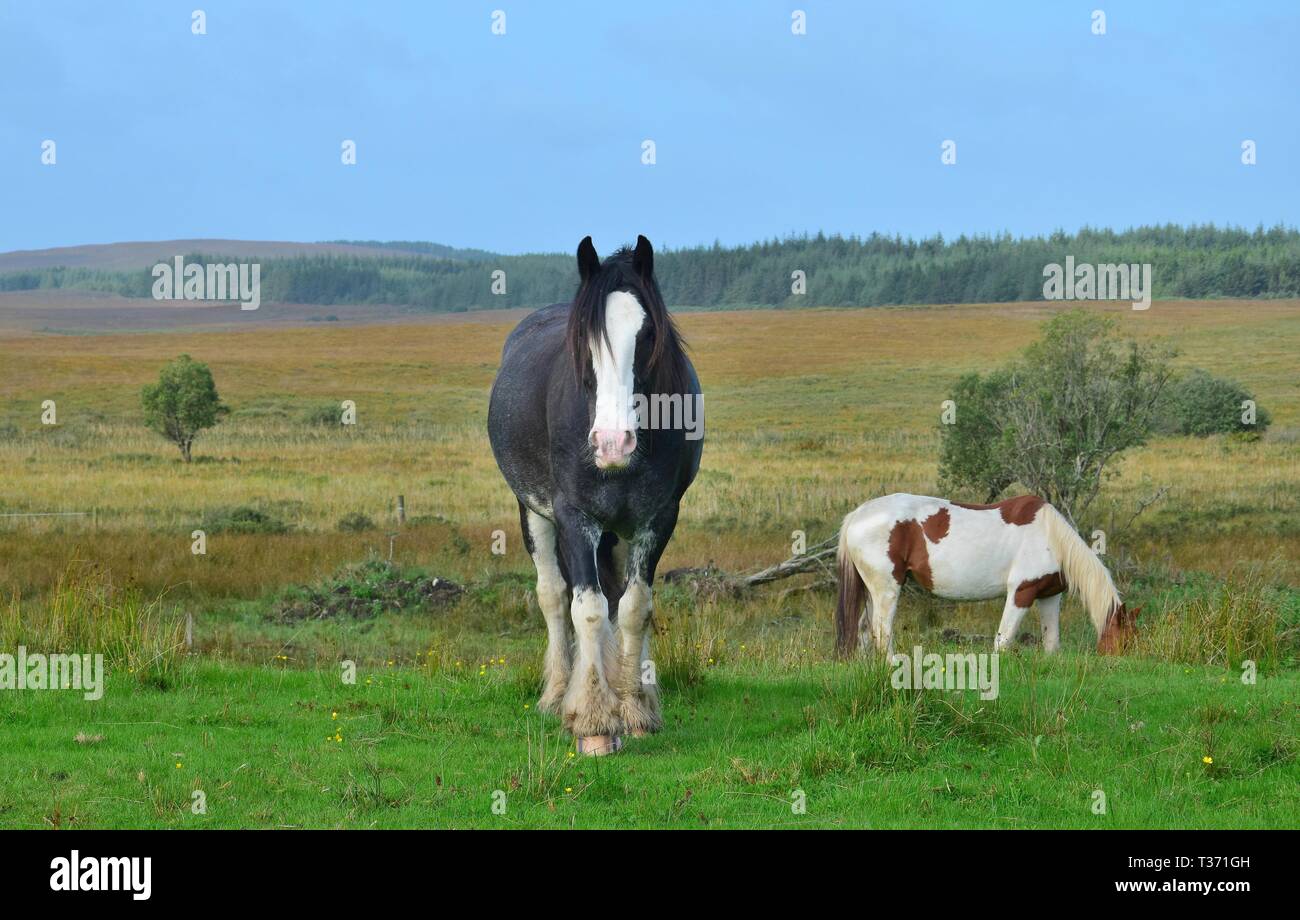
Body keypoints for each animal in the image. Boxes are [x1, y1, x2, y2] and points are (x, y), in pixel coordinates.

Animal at [486, 235, 702, 753]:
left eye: (647, 334)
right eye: (583, 340)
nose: (611, 443)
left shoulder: (659, 518)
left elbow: (635, 608)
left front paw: (636, 708)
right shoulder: (573, 516)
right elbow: (586, 609)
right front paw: (595, 722)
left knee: (620, 598)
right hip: (533, 514)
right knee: (552, 595)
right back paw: (557, 693)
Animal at [832, 496, 1138, 654]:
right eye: (1124, 640)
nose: (1121, 664)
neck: (1051, 537)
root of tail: (857, 515)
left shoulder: (1049, 596)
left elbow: (1052, 642)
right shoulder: (1021, 592)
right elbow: (1003, 640)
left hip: (872, 591)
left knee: (864, 630)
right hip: (887, 589)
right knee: (881, 631)